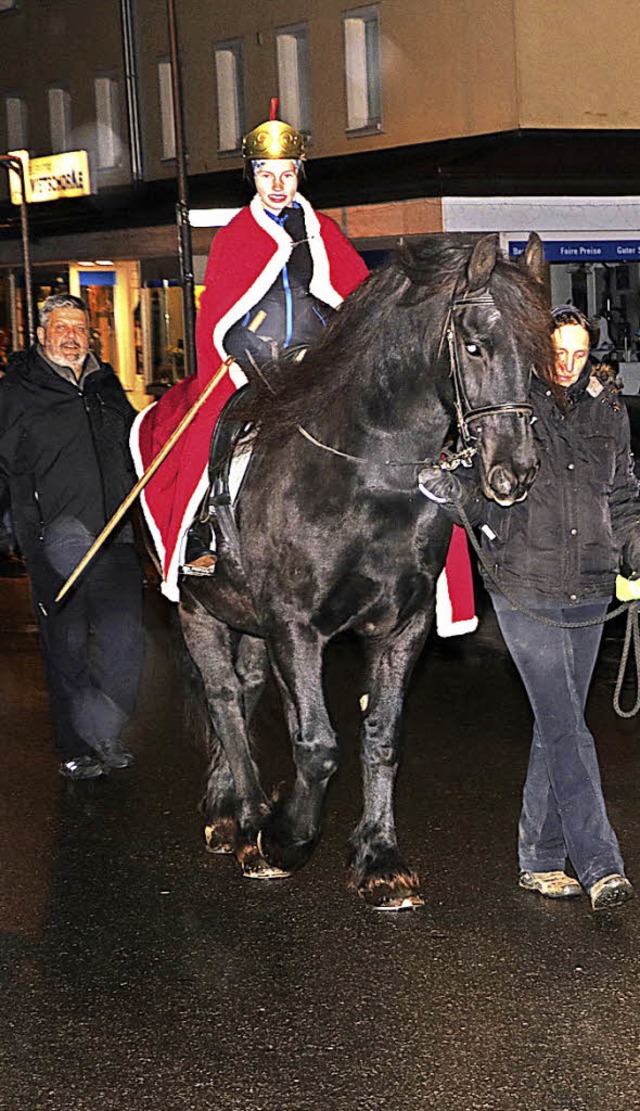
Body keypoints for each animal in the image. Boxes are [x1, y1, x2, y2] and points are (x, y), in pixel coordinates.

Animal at [178, 229, 551, 906]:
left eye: (537, 358)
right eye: (475, 344)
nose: (514, 472)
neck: (367, 474)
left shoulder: (401, 627)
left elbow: (380, 734)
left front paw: (379, 857)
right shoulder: (296, 626)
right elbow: (319, 744)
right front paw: (284, 837)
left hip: (246, 617)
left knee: (246, 690)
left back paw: (227, 803)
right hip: (196, 606)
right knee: (222, 696)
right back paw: (246, 815)